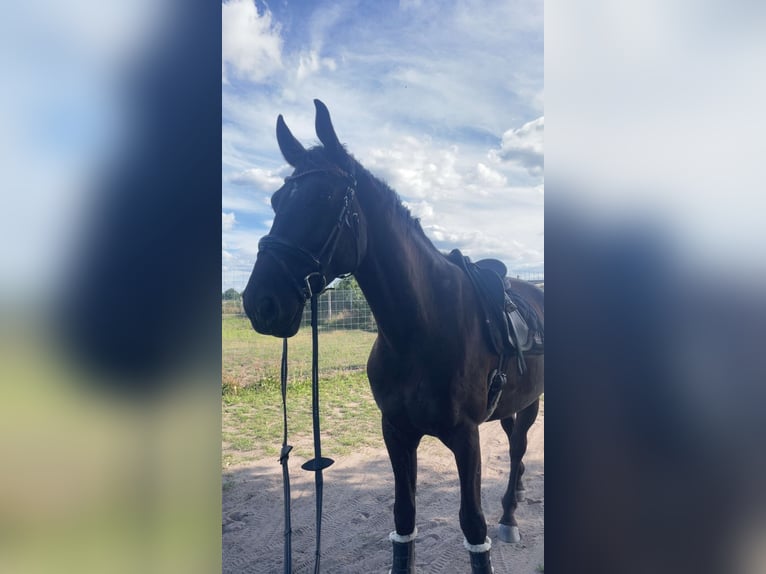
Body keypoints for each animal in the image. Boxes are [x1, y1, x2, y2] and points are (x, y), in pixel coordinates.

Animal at [242, 100, 544, 574]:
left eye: (325, 198)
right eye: (275, 201)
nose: (261, 302)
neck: (420, 329)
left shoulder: (466, 437)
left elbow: (473, 526)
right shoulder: (396, 431)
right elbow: (403, 520)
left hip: (532, 402)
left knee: (517, 451)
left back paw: (511, 515)